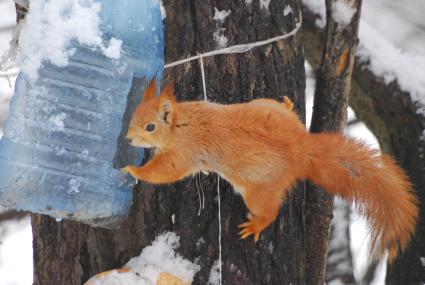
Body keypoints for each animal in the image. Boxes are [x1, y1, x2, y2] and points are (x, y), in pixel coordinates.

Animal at [121, 79, 418, 260]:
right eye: (132, 115)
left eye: (150, 127)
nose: (128, 139)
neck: (182, 123)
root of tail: (301, 149)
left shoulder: (183, 153)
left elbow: (164, 172)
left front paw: (131, 170)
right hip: (264, 105)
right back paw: (287, 104)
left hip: (257, 191)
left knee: (270, 211)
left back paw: (256, 225)